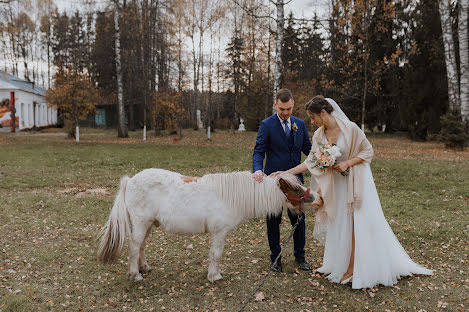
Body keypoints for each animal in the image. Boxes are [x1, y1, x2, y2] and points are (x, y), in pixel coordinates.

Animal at [97, 169, 312, 282]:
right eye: (294, 188)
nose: (314, 197)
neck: (229, 197)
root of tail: (131, 180)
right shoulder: (219, 233)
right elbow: (216, 254)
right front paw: (214, 276)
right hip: (141, 224)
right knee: (134, 247)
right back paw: (135, 275)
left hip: (148, 225)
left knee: (141, 246)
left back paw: (144, 268)